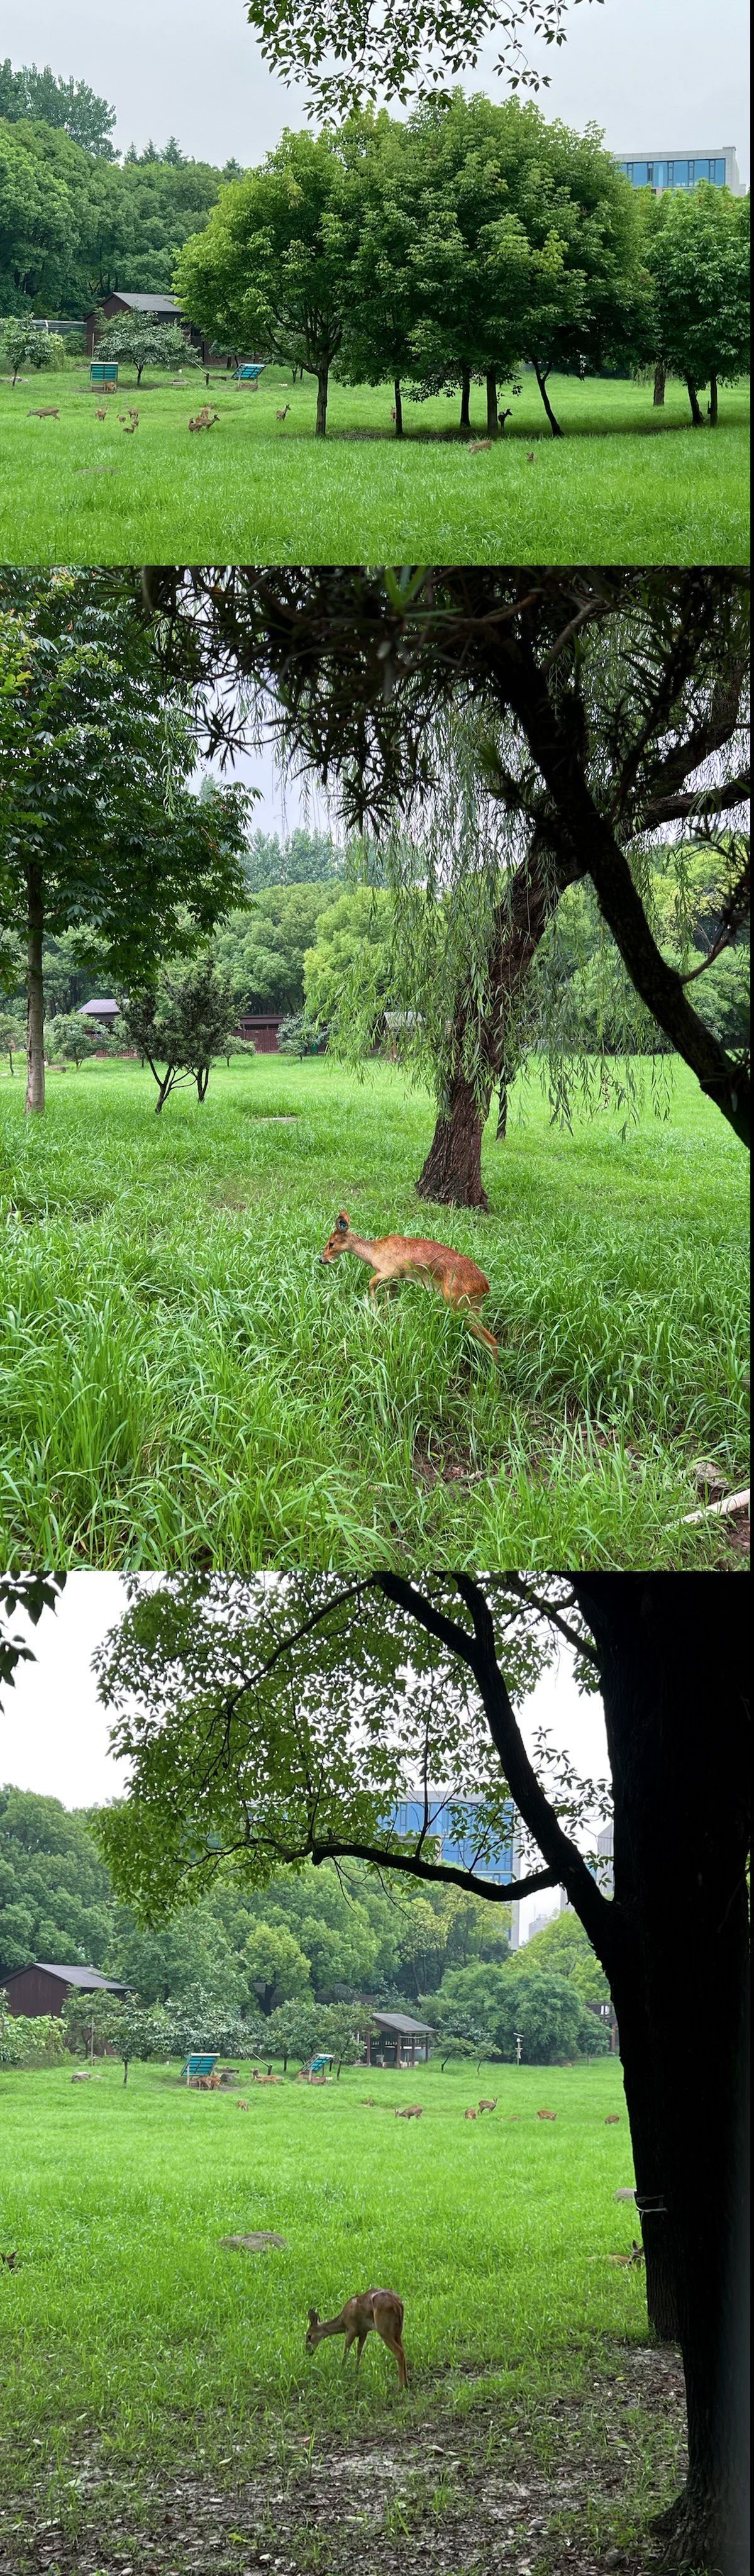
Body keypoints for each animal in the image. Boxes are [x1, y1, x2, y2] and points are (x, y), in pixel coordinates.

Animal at [306, 2289, 407, 2387]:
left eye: (309, 2336)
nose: (308, 2352)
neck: (342, 2322)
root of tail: (398, 2304)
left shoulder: (351, 2330)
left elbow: (346, 2352)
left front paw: (341, 2372)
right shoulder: (363, 2332)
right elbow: (359, 2352)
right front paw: (356, 2372)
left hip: (384, 2330)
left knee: (399, 2353)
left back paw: (400, 2387)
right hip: (398, 2331)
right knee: (403, 2352)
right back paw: (406, 2384)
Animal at [320, 1211, 498, 1358]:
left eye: (331, 1243)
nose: (322, 1260)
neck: (374, 1253)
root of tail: (485, 1288)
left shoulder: (391, 1271)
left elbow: (371, 1284)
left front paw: (374, 1312)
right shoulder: (395, 1280)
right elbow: (390, 1301)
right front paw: (387, 1322)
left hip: (460, 1305)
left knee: (492, 1341)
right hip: (471, 1308)